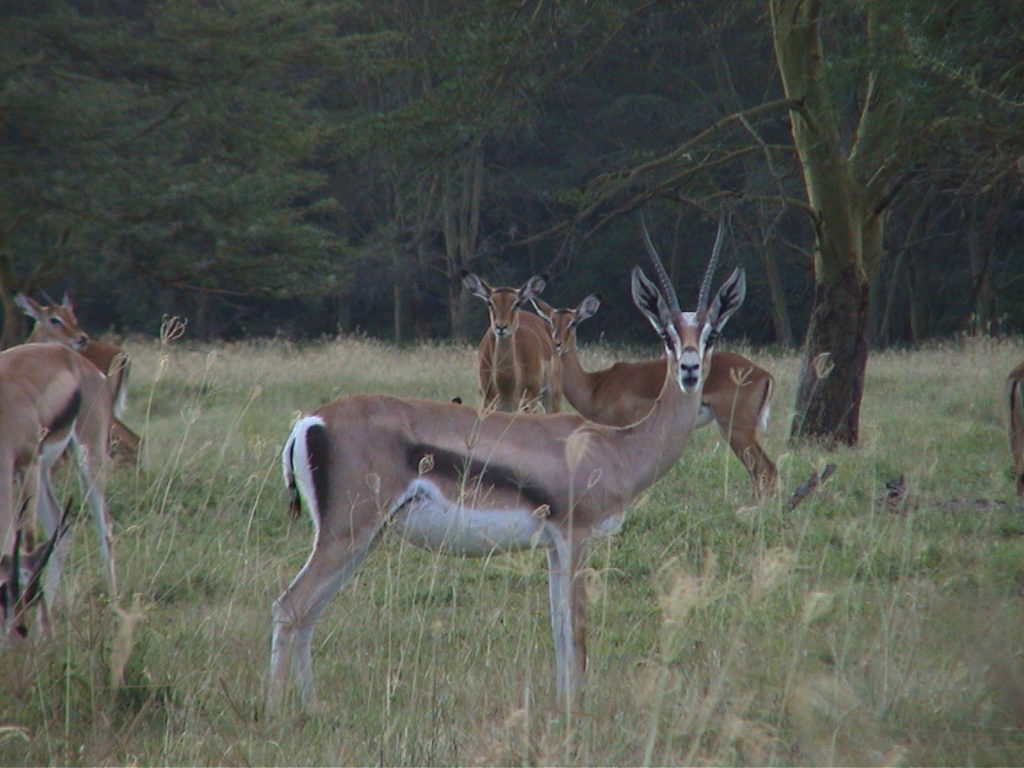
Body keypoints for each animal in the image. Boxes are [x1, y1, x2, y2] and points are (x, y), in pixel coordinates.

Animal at [0, 344, 117, 606]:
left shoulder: (28, 466)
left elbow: (28, 545)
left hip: (86, 458)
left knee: (104, 529)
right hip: (44, 474)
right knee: (60, 530)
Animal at [462, 272, 561, 411]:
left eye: (517, 303)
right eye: (490, 303)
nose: (501, 327)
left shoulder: (530, 399)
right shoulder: (487, 401)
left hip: (551, 396)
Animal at [528, 292, 774, 499]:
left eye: (574, 322)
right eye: (550, 321)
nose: (557, 344)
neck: (596, 385)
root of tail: (764, 374)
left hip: (737, 430)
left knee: (766, 469)